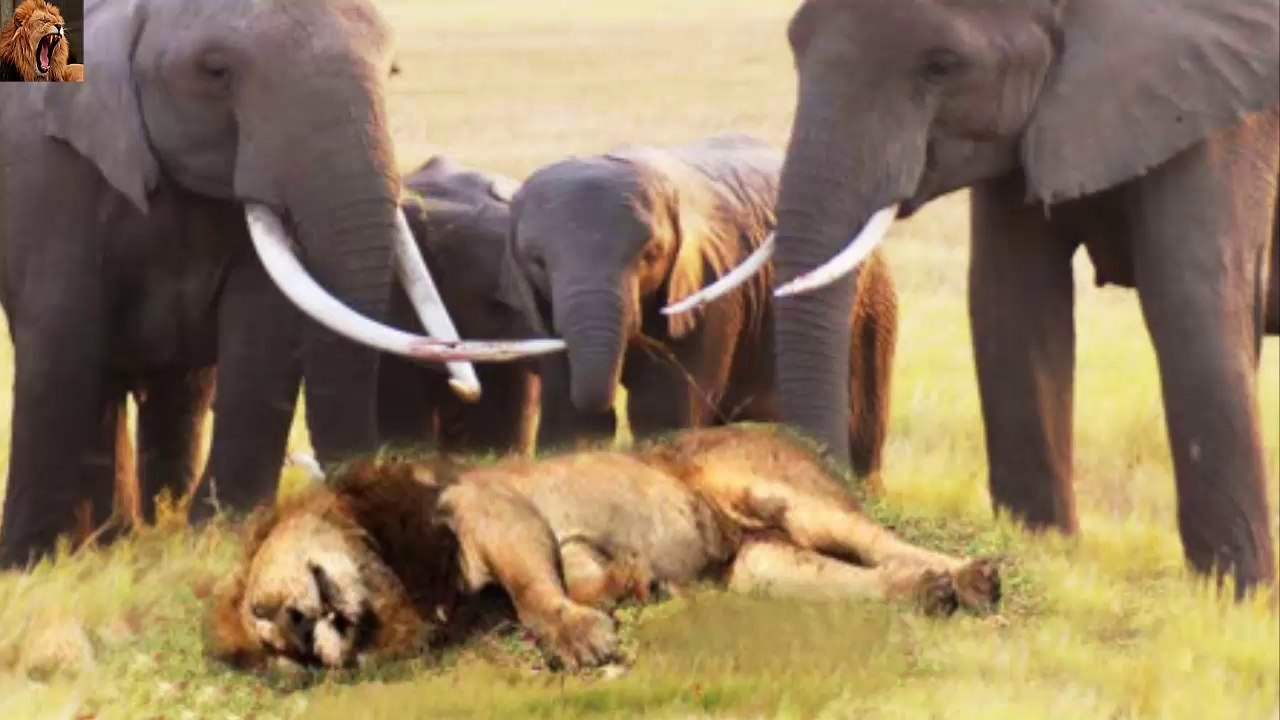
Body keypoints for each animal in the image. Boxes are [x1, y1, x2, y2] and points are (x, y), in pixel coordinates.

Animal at [0, 0, 554, 568]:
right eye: (215, 71)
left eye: (393, 71)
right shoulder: (45, 173)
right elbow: (62, 340)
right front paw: (31, 563)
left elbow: (262, 331)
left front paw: (223, 537)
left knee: (179, 390)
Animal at [206, 426, 1001, 672]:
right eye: (280, 650)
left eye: (266, 611)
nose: (307, 636)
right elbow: (579, 575)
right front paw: (626, 586)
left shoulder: (491, 506)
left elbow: (535, 592)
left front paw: (579, 639)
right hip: (763, 569)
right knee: (866, 577)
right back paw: (931, 594)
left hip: (780, 494)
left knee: (885, 540)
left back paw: (973, 578)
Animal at [492, 135, 898, 475]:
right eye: (538, 262)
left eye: (650, 255)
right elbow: (569, 420)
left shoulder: (710, 289)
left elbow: (661, 412)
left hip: (870, 304)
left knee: (863, 435)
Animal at [671, 0, 1279, 593]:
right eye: (796, 44)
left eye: (941, 66)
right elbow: (1011, 306)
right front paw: (1043, 553)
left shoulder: (1222, 117)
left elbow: (1193, 307)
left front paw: (1233, 600)